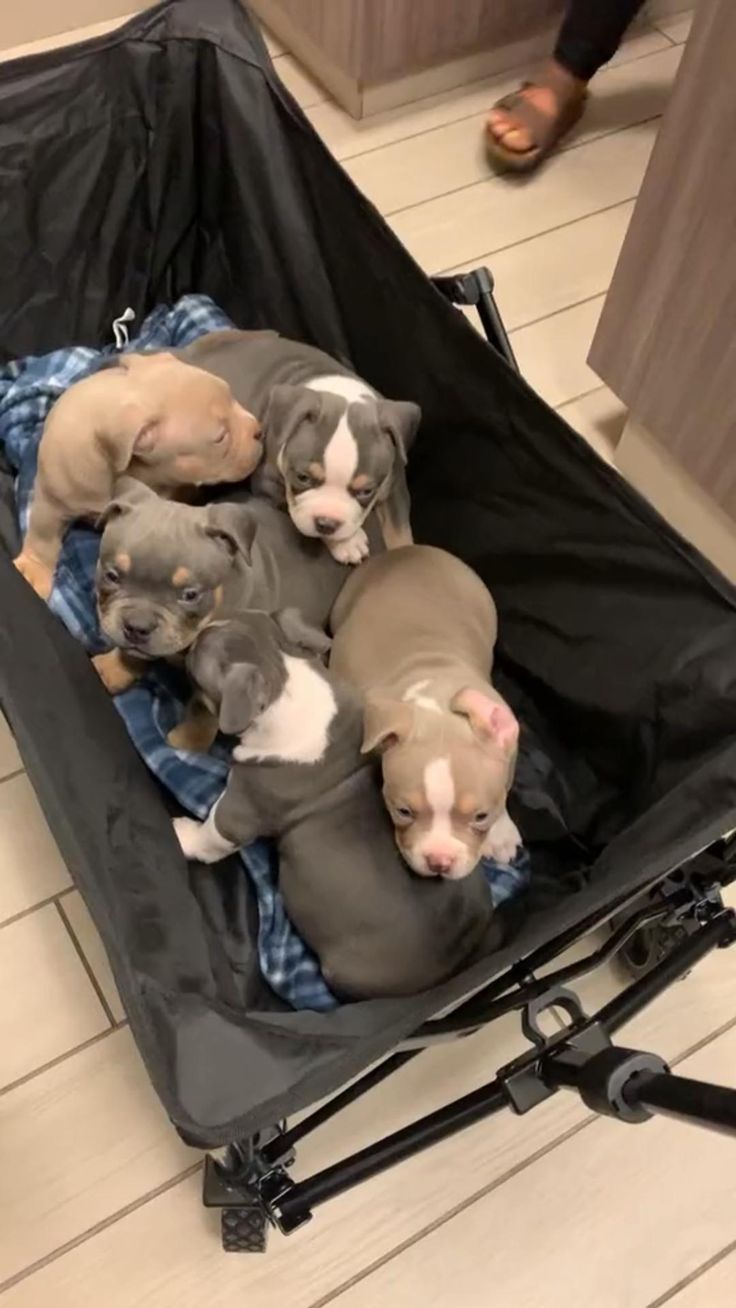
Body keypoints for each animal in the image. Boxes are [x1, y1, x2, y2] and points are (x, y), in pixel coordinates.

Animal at [13, 358, 261, 601]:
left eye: (232, 396)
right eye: (221, 438)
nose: (259, 431)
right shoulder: (51, 500)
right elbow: (43, 537)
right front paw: (33, 569)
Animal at [173, 606, 494, 994]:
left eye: (194, 665)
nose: (186, 643)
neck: (282, 678)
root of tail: (457, 963)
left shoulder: (241, 810)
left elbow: (211, 835)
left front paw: (183, 835)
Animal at [180, 329, 420, 565]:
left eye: (366, 491)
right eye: (302, 478)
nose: (327, 523)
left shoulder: (395, 485)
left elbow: (400, 532)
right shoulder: (269, 487)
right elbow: (296, 508)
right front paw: (346, 543)